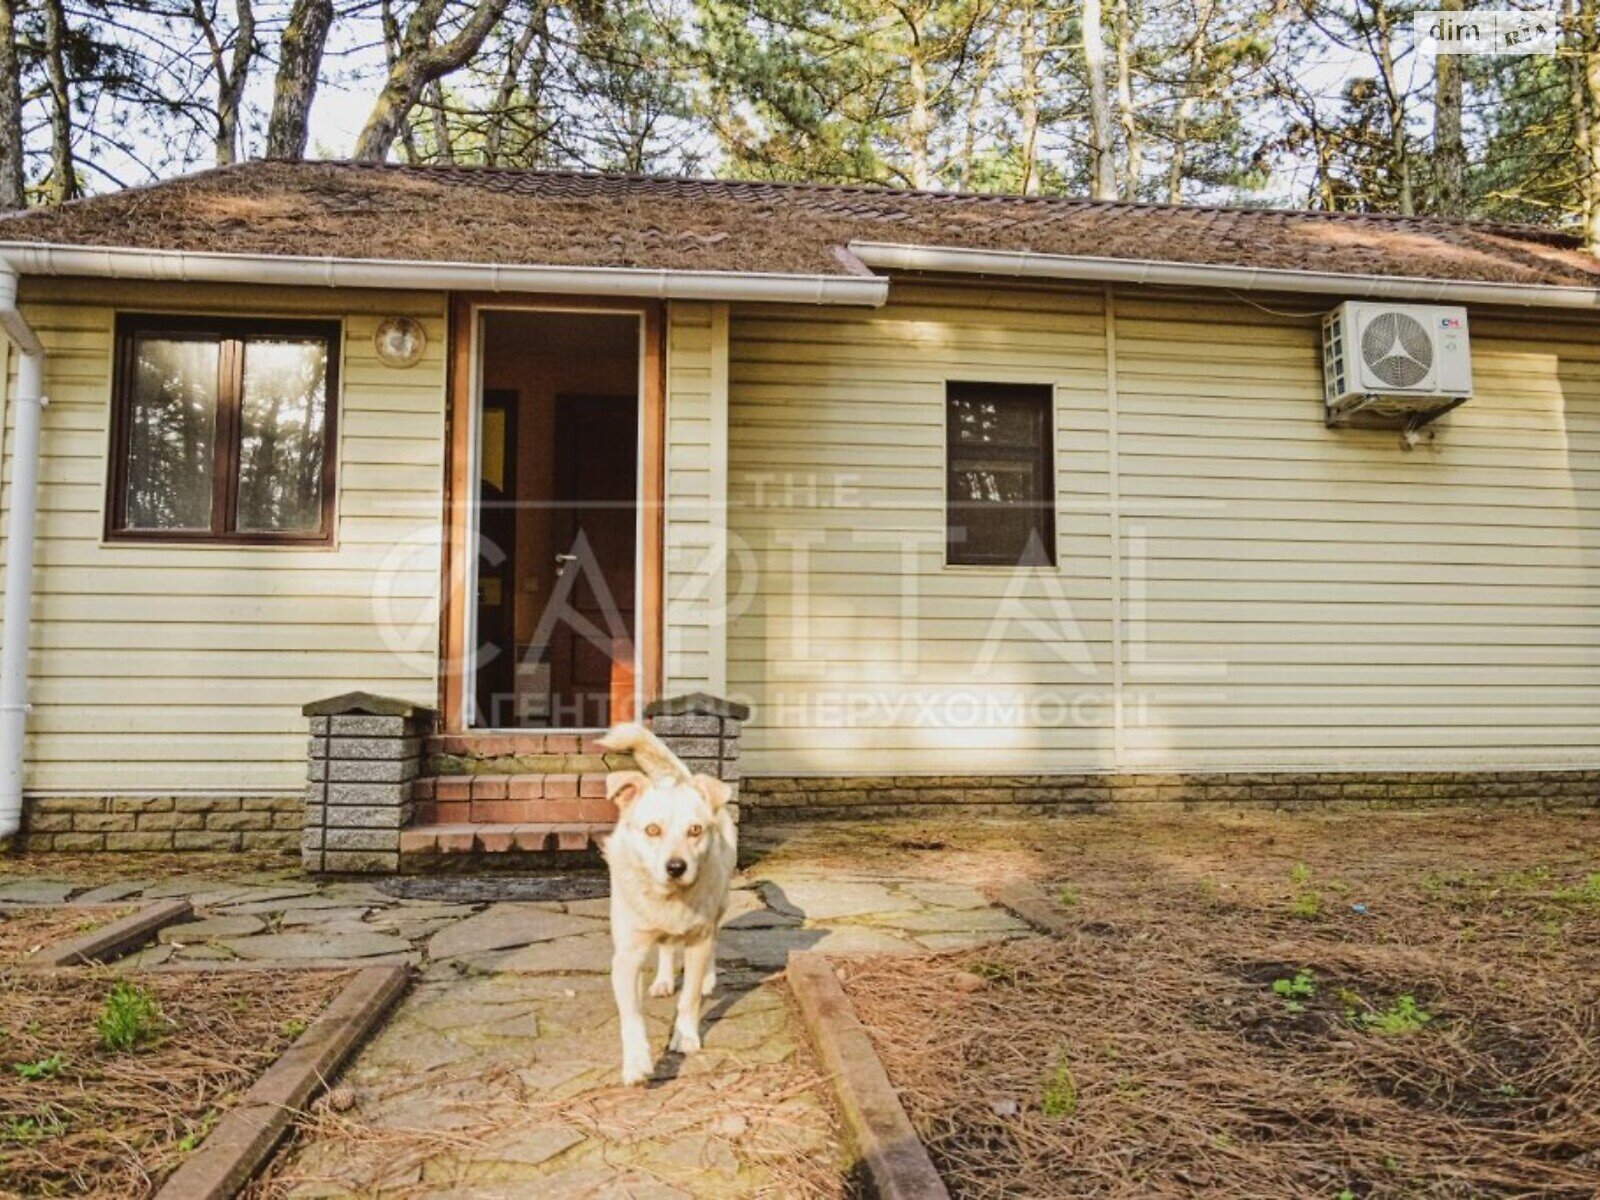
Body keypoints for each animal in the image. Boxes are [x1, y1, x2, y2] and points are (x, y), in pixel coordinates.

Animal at [595, 723, 736, 1088]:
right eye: (652, 829)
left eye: (695, 830)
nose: (676, 867)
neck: (669, 898)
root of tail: (677, 777)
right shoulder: (627, 955)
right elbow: (631, 1017)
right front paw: (636, 1063)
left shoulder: (698, 938)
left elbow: (689, 999)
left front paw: (684, 1037)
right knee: (666, 946)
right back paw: (662, 980)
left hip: (720, 903)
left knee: (713, 939)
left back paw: (709, 978)